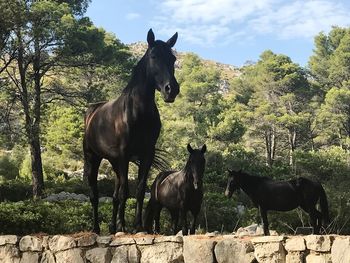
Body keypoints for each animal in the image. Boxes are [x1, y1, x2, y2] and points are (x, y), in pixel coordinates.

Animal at [83, 29, 179, 235]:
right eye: (153, 55)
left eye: (173, 58)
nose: (171, 89)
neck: (138, 112)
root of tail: (92, 112)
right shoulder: (124, 155)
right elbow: (125, 191)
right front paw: (123, 226)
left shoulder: (146, 154)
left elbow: (139, 190)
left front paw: (138, 226)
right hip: (94, 158)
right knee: (95, 194)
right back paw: (96, 228)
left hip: (114, 163)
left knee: (114, 195)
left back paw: (112, 227)